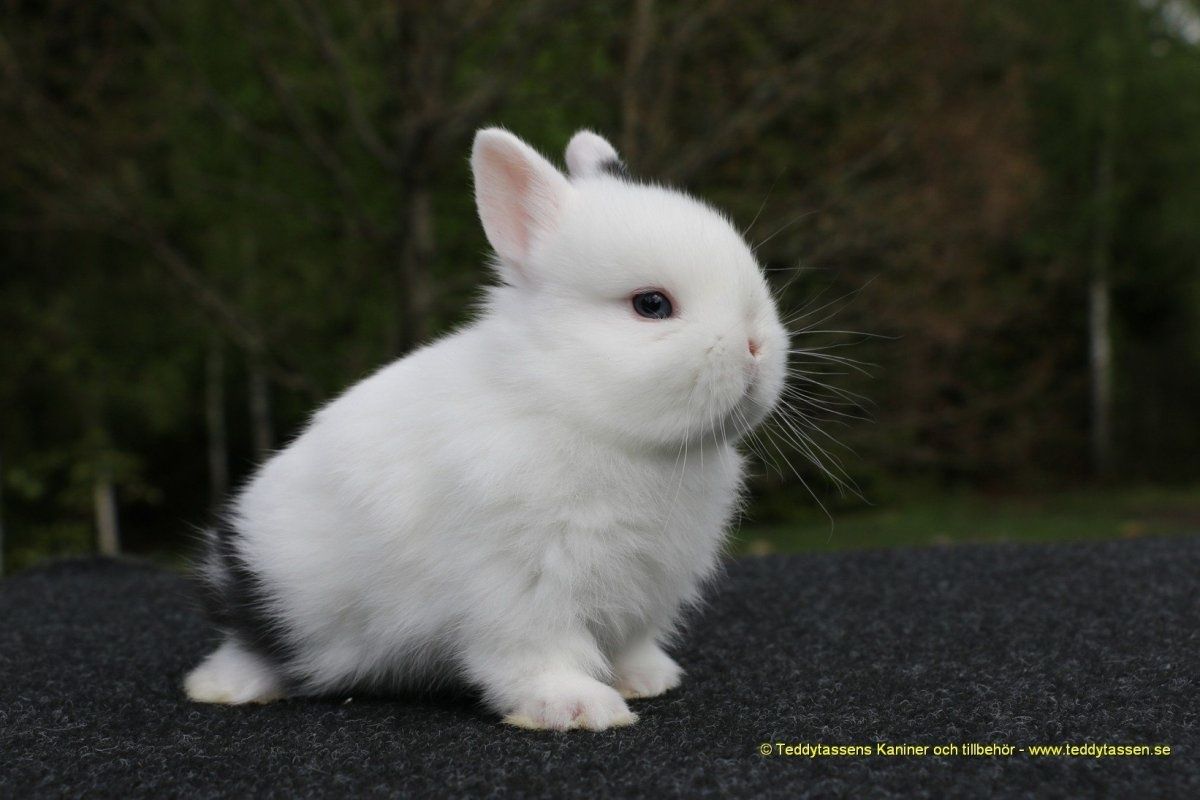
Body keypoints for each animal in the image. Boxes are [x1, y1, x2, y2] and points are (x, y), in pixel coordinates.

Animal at [184, 126, 787, 734]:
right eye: (652, 304)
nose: (756, 347)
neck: (575, 408)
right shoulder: (523, 585)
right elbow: (537, 654)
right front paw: (577, 708)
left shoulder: (645, 584)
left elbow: (629, 642)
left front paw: (648, 679)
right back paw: (223, 689)